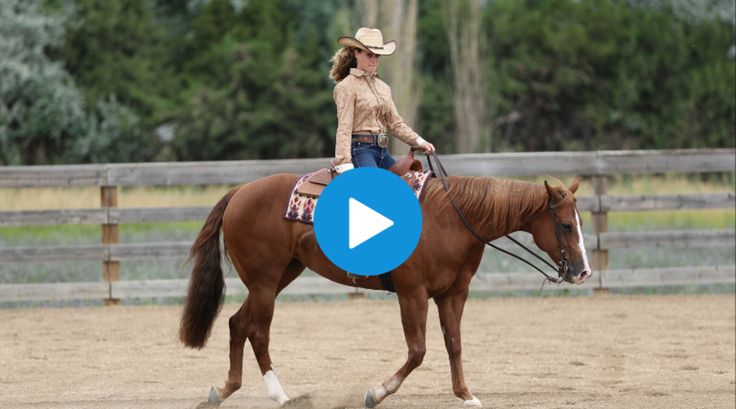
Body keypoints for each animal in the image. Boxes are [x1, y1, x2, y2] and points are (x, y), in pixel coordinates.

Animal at [178, 171, 592, 406]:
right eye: (565, 225)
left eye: (580, 221)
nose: (583, 271)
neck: (451, 220)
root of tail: (240, 192)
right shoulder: (413, 293)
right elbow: (418, 351)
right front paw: (375, 393)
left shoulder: (453, 294)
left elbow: (454, 344)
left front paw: (466, 395)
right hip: (265, 281)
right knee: (258, 332)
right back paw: (281, 396)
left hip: (279, 276)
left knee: (237, 324)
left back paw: (223, 391)